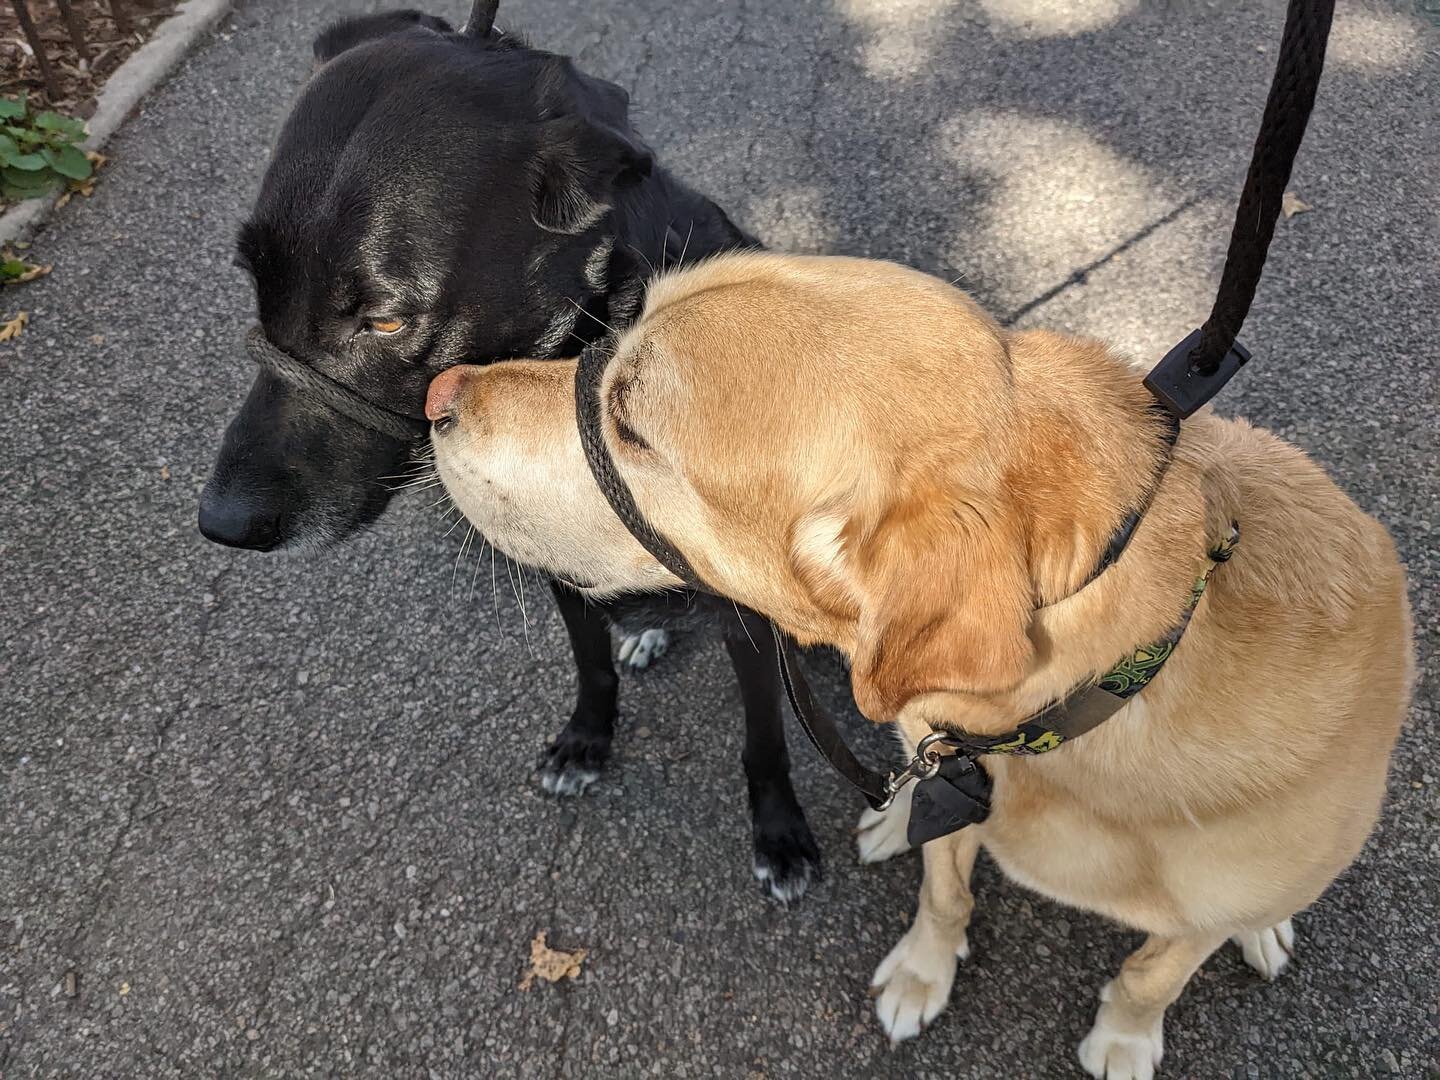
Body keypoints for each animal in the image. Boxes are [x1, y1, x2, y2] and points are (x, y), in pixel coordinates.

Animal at [203, 6, 829, 904]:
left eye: (384, 319)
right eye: (256, 281)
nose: (222, 523)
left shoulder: (746, 620)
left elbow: (765, 739)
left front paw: (779, 833)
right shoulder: (556, 570)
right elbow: (591, 666)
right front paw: (586, 741)